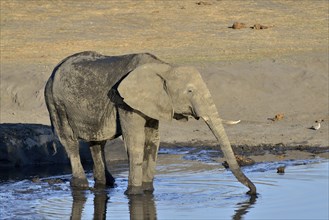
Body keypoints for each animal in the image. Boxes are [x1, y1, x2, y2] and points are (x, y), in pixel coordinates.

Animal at [44, 50, 256, 195]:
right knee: (69, 140)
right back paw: (81, 185)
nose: (252, 191)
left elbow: (152, 140)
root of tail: (55, 70)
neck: (164, 67)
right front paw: (134, 193)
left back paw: (107, 183)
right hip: (56, 102)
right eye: (189, 91)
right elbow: (135, 141)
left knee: (97, 142)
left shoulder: (153, 103)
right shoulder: (124, 101)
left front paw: (148, 190)